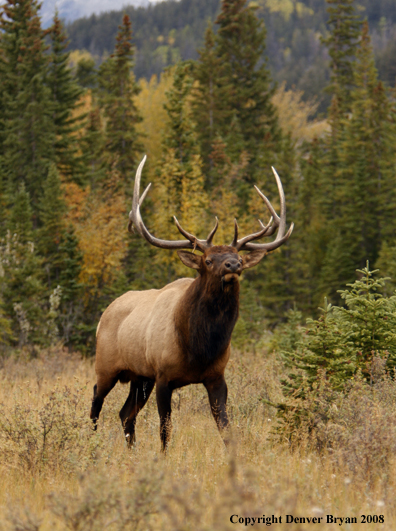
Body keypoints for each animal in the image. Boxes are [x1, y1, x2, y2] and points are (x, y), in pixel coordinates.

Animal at [90, 156, 294, 450]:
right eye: (208, 260)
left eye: (238, 257)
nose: (234, 265)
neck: (199, 346)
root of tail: (104, 314)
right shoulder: (163, 376)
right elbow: (165, 429)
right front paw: (163, 456)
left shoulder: (217, 377)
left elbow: (226, 428)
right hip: (106, 366)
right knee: (96, 401)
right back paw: (90, 443)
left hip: (140, 377)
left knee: (125, 413)